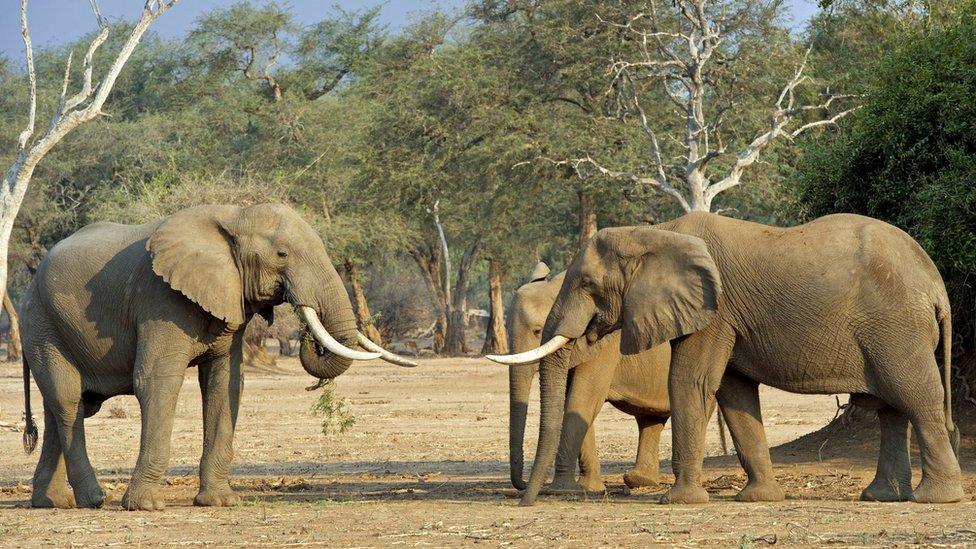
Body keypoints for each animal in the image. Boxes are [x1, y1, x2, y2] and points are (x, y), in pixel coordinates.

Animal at [19, 203, 416, 512]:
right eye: (282, 254)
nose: (306, 333)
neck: (233, 216)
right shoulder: (160, 300)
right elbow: (156, 381)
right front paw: (145, 506)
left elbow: (225, 383)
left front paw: (221, 502)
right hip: (41, 322)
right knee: (69, 401)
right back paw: (94, 499)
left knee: (61, 407)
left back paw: (52, 503)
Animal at [504, 262, 672, 492]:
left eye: (537, 331)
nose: (523, 484)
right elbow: (574, 402)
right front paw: (589, 488)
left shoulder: (606, 344)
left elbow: (583, 398)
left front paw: (562, 489)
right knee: (651, 417)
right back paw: (639, 480)